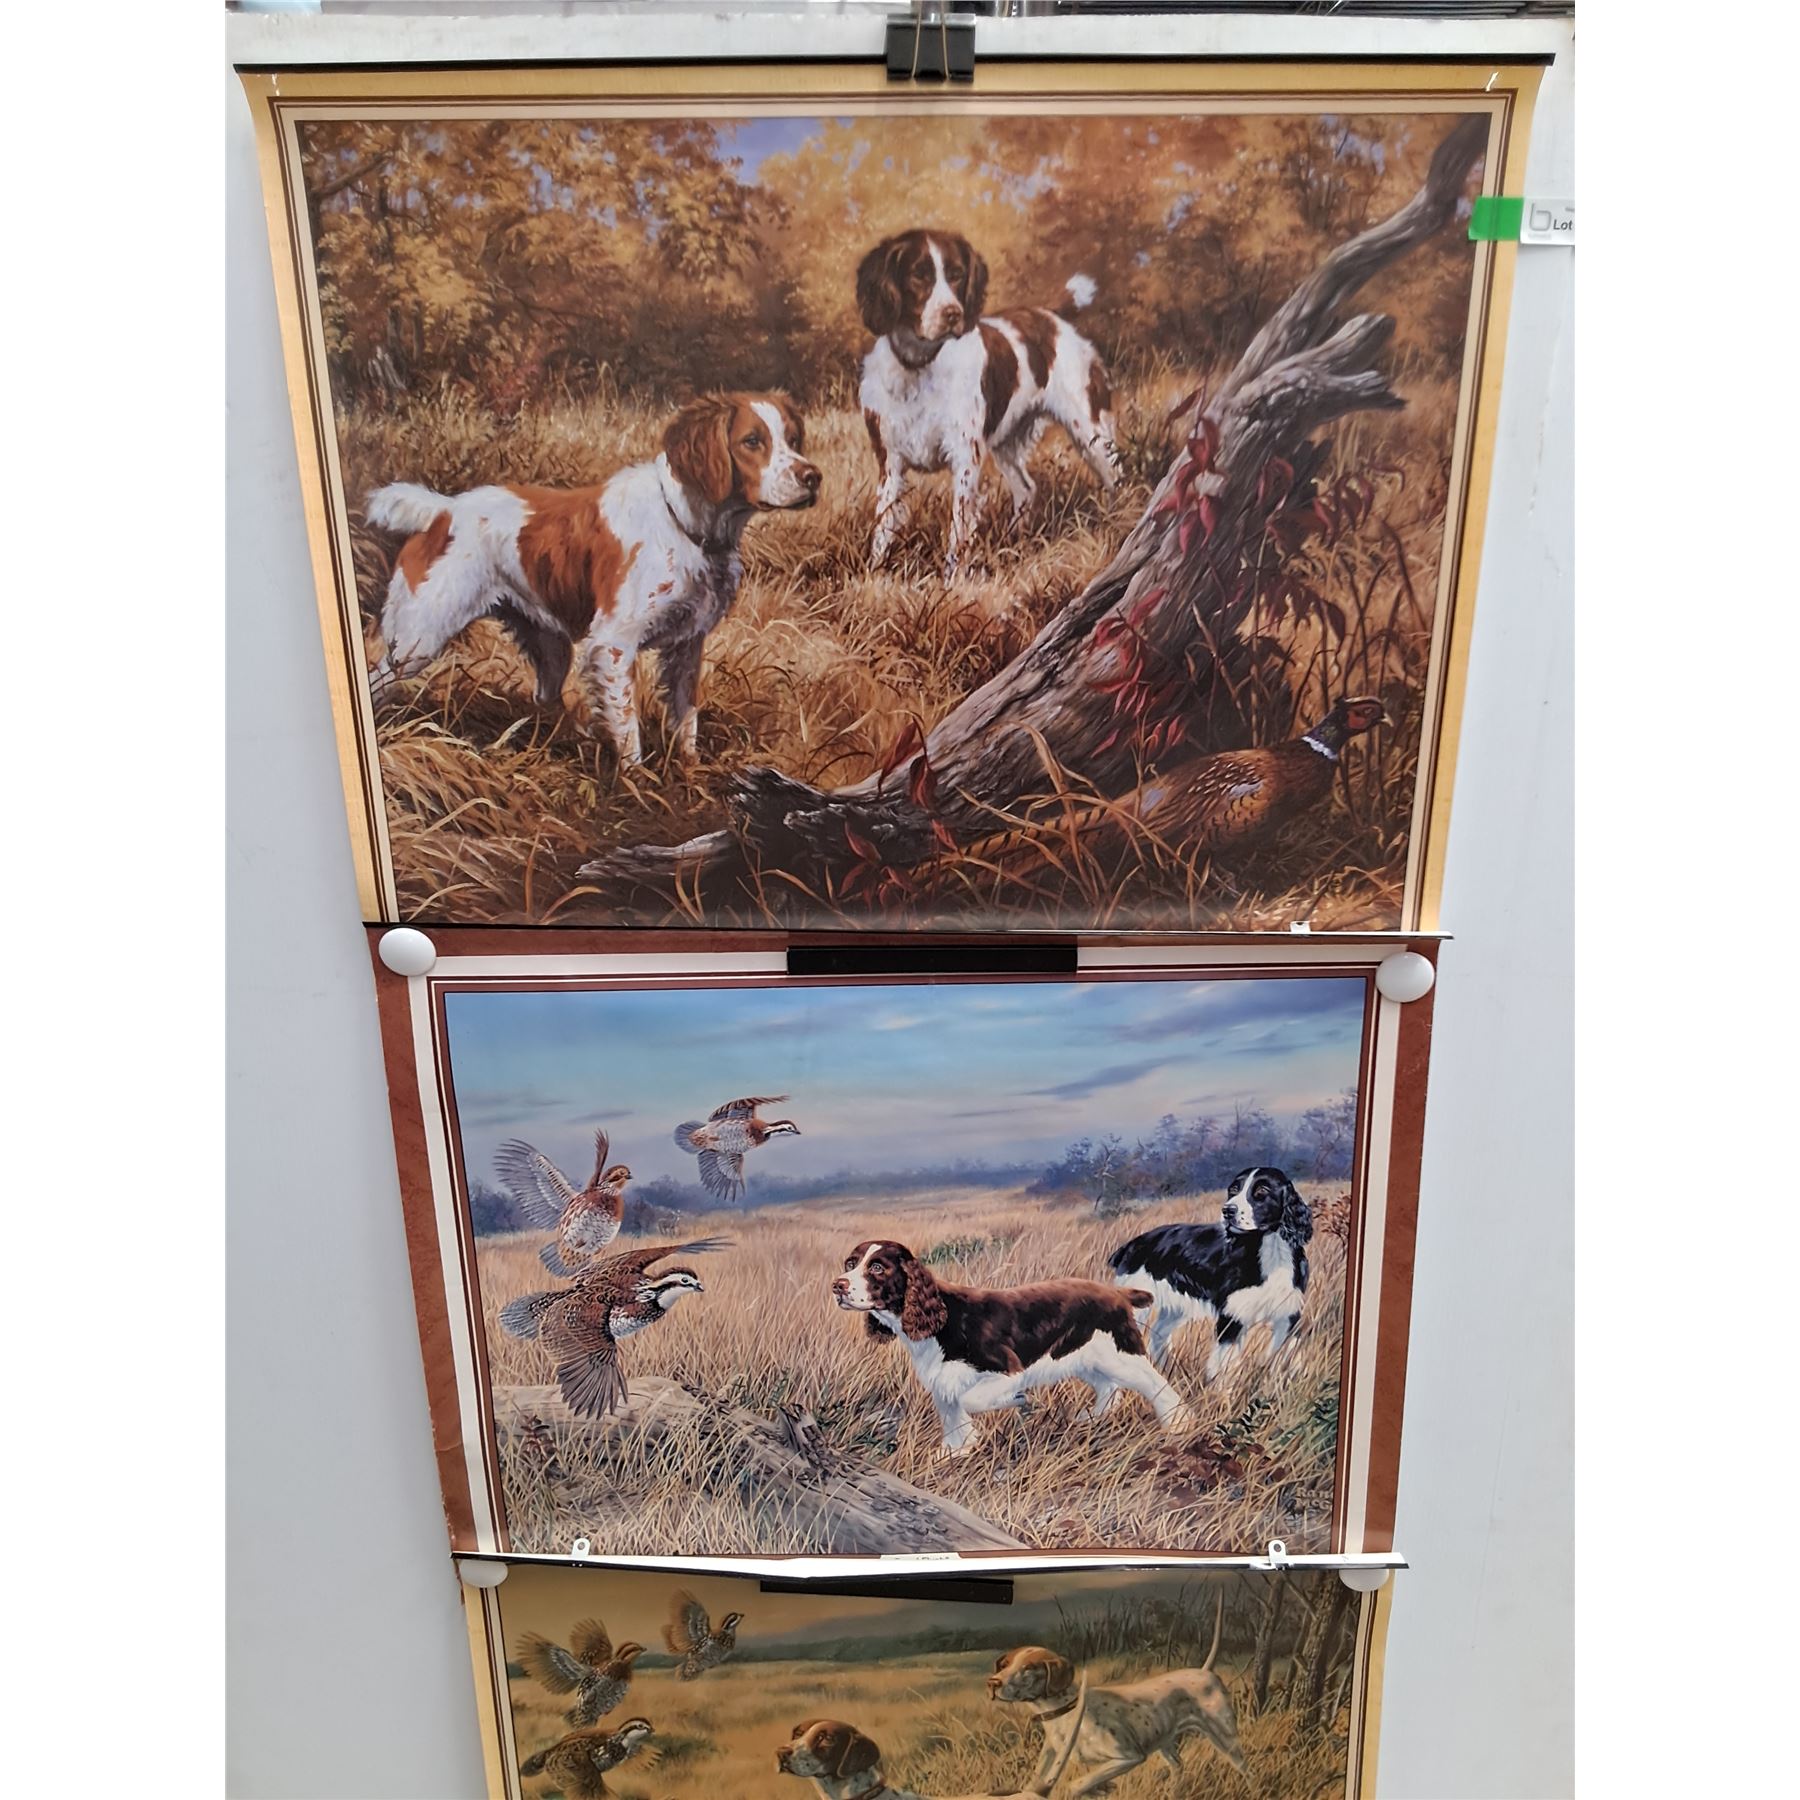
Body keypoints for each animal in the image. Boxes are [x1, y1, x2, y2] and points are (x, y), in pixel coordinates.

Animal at [364, 392, 820, 764]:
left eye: (793, 439)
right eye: (752, 441)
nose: (813, 477)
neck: (684, 523)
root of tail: (441, 511)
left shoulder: (688, 646)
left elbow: (685, 719)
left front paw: (691, 775)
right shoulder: (614, 645)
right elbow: (628, 728)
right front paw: (637, 788)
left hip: (550, 647)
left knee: (545, 698)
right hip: (417, 639)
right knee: (377, 679)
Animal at [832, 1239, 1193, 1457]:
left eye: (877, 1267)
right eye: (850, 1262)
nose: (837, 1285)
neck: (943, 1319)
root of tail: (1117, 1293)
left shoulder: (1006, 1369)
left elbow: (971, 1399)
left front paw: (1020, 1401)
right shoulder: (942, 1383)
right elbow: (953, 1418)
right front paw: (955, 1452)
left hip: (1120, 1352)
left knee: (1157, 1385)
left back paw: (1178, 1425)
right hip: (1085, 1358)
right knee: (1110, 1389)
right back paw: (1090, 1418)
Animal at [855, 228, 1122, 576]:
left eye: (956, 274)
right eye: (918, 275)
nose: (952, 314)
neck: (919, 366)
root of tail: (1049, 316)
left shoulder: (965, 457)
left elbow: (958, 528)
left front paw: (952, 582)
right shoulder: (890, 462)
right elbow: (883, 525)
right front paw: (873, 573)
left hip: (1090, 430)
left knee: (1116, 478)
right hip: (1008, 441)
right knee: (1026, 488)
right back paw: (1013, 543)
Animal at [988, 1596, 1244, 1796]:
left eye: (1029, 1668)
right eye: (1005, 1664)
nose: (992, 1682)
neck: (1067, 1711)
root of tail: (1204, 1671)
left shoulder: (1129, 1757)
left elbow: (1077, 1783)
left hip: (1227, 1740)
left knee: (1245, 1767)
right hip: (1165, 1743)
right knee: (1178, 1766)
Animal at [1108, 1166, 1314, 1379]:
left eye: (1261, 1192)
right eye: (1233, 1190)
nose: (1227, 1211)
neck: (1270, 1251)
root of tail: (1131, 1245)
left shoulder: (1288, 1315)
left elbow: (1287, 1357)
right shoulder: (1232, 1317)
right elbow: (1226, 1365)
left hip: (1175, 1308)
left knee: (1159, 1335)